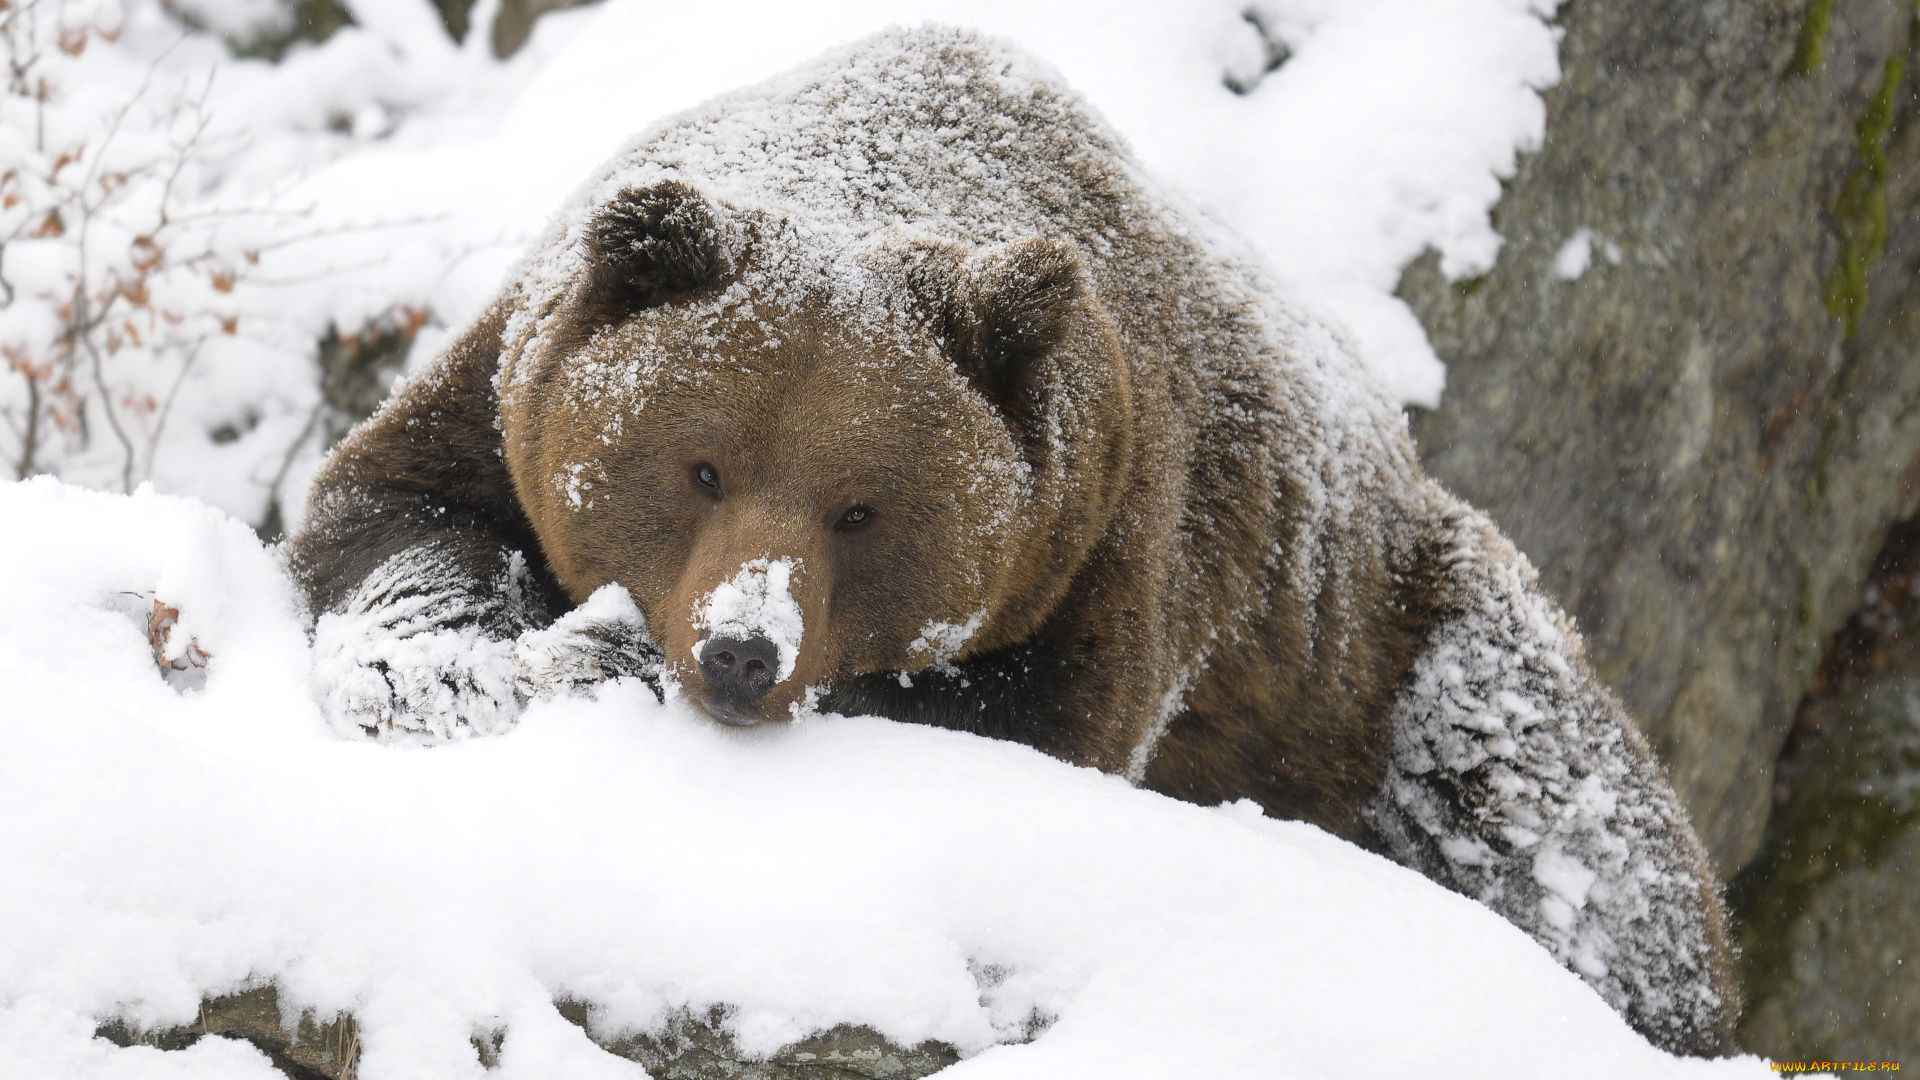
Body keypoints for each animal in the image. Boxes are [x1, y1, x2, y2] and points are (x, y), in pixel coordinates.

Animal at [284, 25, 1743, 1053]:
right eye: (700, 466)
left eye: (861, 507)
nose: (744, 650)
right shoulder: (502, 387)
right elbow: (393, 513)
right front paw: (443, 666)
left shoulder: (1109, 542)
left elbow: (1021, 722)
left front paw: (602, 655)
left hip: (1390, 651)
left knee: (1564, 829)